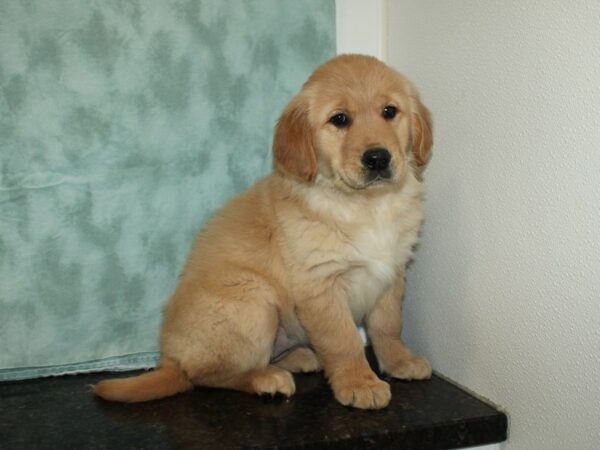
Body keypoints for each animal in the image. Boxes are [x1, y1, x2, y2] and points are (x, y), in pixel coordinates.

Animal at [92, 54, 432, 410]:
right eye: (339, 119)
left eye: (389, 111)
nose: (378, 158)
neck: (366, 206)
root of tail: (169, 360)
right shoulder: (320, 286)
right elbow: (343, 341)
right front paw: (359, 382)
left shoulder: (391, 273)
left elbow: (388, 326)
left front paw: (400, 361)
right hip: (255, 298)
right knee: (205, 374)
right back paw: (267, 379)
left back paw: (298, 358)